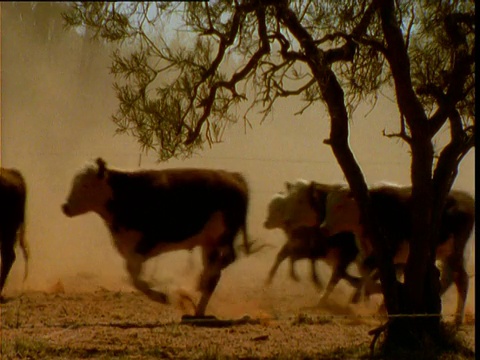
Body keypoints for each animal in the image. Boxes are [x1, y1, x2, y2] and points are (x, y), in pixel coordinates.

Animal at [61, 158, 251, 316]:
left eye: (85, 185)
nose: (65, 207)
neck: (123, 195)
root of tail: (234, 177)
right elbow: (133, 277)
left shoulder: (143, 244)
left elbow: (134, 277)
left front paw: (161, 296)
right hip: (209, 242)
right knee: (214, 274)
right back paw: (198, 308)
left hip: (223, 235)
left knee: (227, 259)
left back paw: (201, 284)